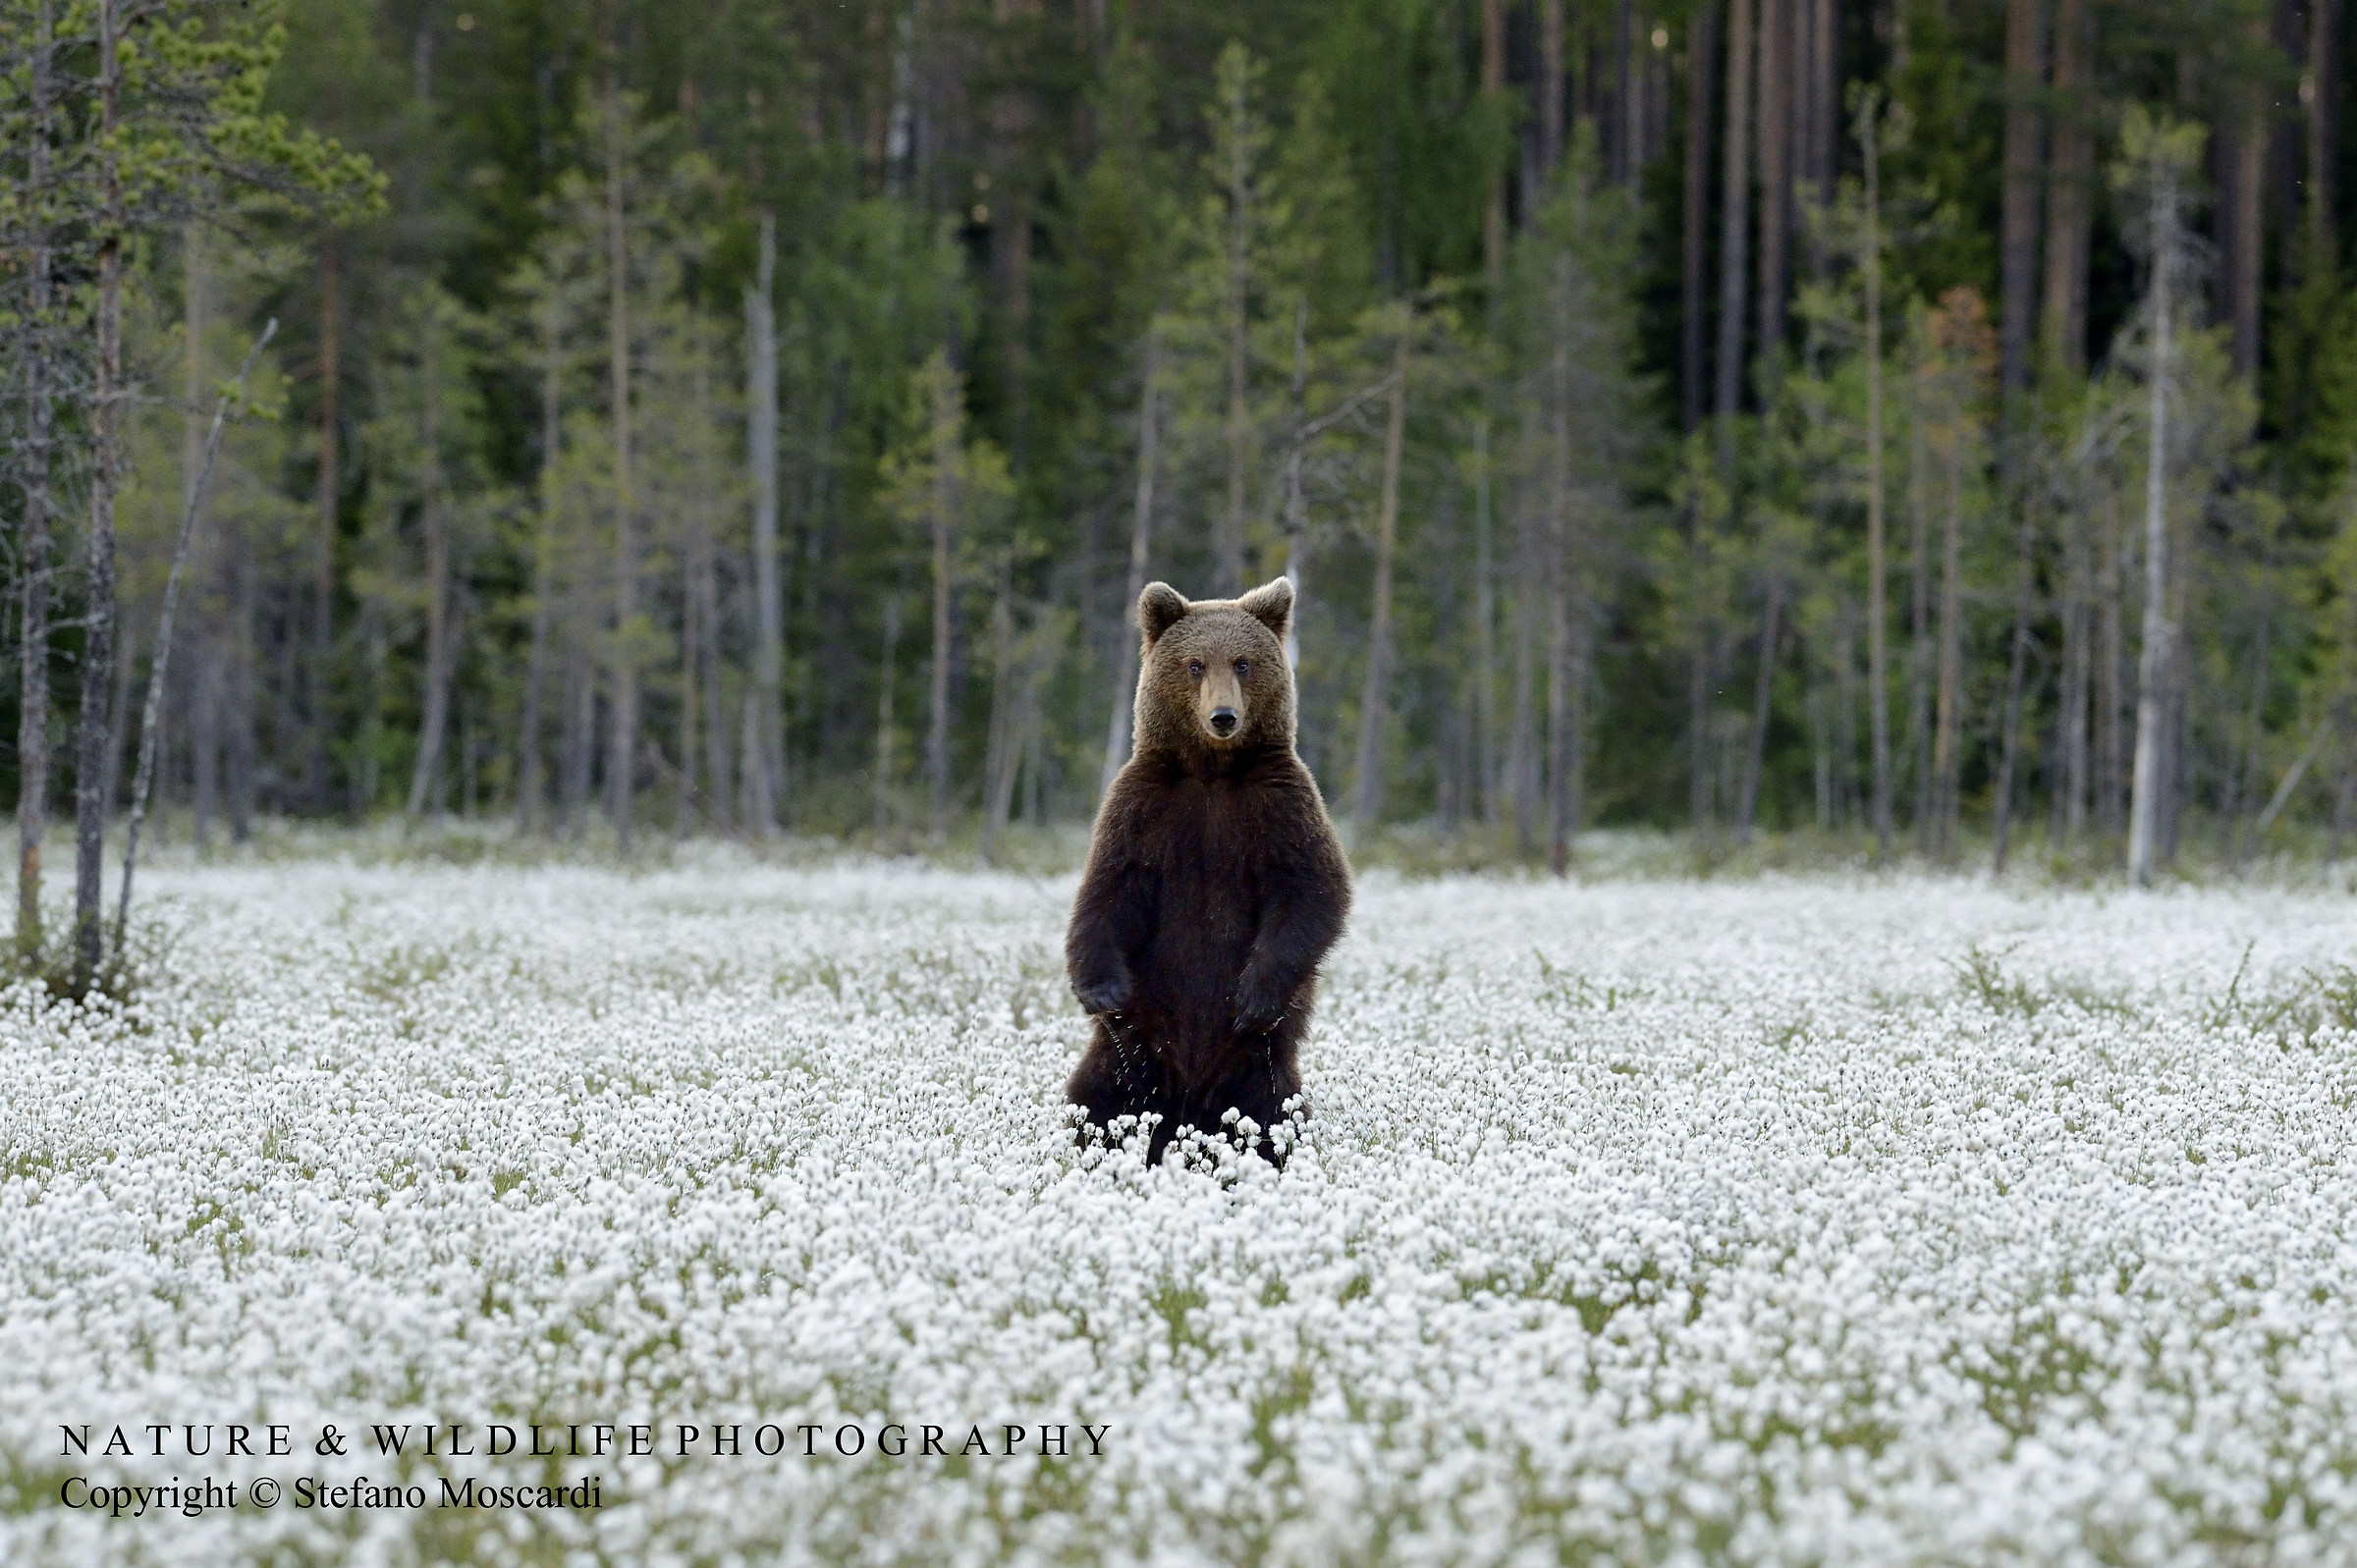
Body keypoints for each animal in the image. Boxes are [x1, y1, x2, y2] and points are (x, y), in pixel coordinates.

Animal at [1064, 576, 1352, 1167]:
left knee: (1274, 1112)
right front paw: (1101, 989)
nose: (1223, 716)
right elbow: (1108, 890)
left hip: (1258, 1066)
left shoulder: (1279, 805)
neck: (1212, 772)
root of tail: (1188, 1108)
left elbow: (1311, 889)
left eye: (1242, 662)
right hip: (1133, 1051)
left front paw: (1253, 996)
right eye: (1195, 664)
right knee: (1095, 1098)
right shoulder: (1146, 808)